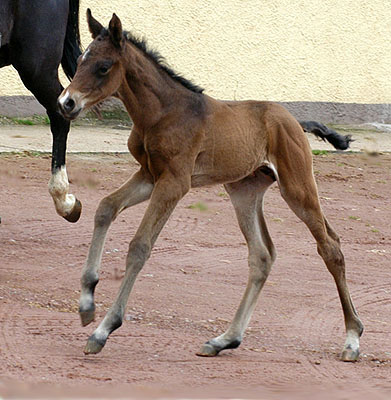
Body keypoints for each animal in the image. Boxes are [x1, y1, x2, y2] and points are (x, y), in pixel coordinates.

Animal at [58, 10, 364, 360]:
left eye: (103, 66)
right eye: (80, 60)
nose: (66, 103)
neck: (163, 113)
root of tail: (295, 122)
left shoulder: (175, 182)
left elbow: (139, 246)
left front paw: (103, 330)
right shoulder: (150, 175)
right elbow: (106, 207)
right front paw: (86, 303)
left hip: (297, 187)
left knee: (330, 246)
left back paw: (352, 339)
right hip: (244, 191)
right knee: (261, 256)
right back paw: (225, 339)